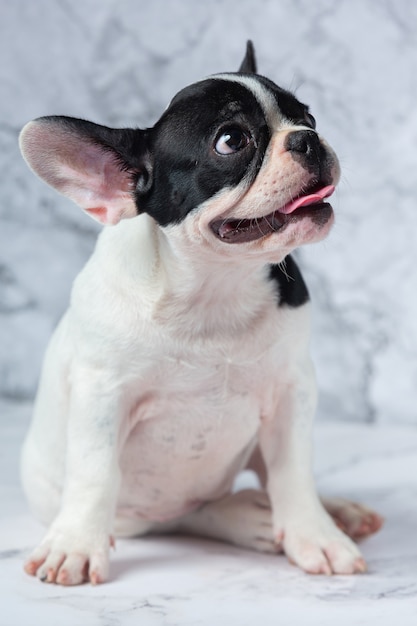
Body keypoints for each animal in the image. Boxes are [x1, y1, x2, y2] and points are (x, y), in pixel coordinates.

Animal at [17, 41, 380, 584]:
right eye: (231, 140)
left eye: (309, 116)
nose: (309, 139)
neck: (215, 285)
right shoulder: (102, 393)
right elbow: (95, 471)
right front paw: (75, 546)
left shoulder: (292, 389)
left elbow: (293, 469)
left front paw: (315, 534)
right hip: (134, 514)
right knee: (182, 514)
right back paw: (246, 516)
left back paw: (333, 510)